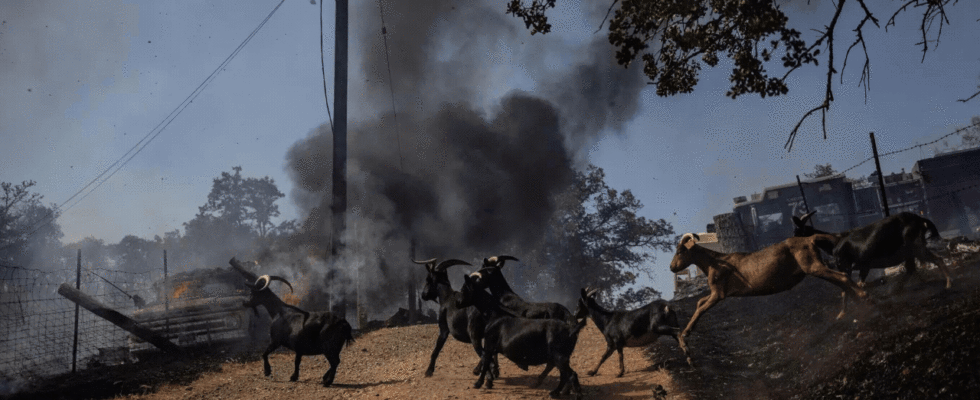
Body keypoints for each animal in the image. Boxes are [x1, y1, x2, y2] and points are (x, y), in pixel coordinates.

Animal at [228, 258, 354, 386]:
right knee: (336, 361)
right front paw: (294, 376)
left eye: (253, 293)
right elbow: (297, 361)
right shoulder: (298, 348)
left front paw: (268, 372)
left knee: (334, 362)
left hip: (329, 346)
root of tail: (343, 322)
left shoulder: (276, 340)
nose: (244, 303)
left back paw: (327, 382)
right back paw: (325, 378)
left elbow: (265, 354)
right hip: (335, 347)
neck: (279, 312)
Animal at [668, 233, 868, 364]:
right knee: (842, 279)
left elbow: (701, 306)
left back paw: (862, 297)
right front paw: (684, 343)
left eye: (679, 251)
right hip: (816, 267)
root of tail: (809, 239)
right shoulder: (716, 293)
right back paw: (848, 310)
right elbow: (699, 302)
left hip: (812, 266)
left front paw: (685, 335)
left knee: (843, 277)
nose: (671, 268)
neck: (713, 262)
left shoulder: (718, 293)